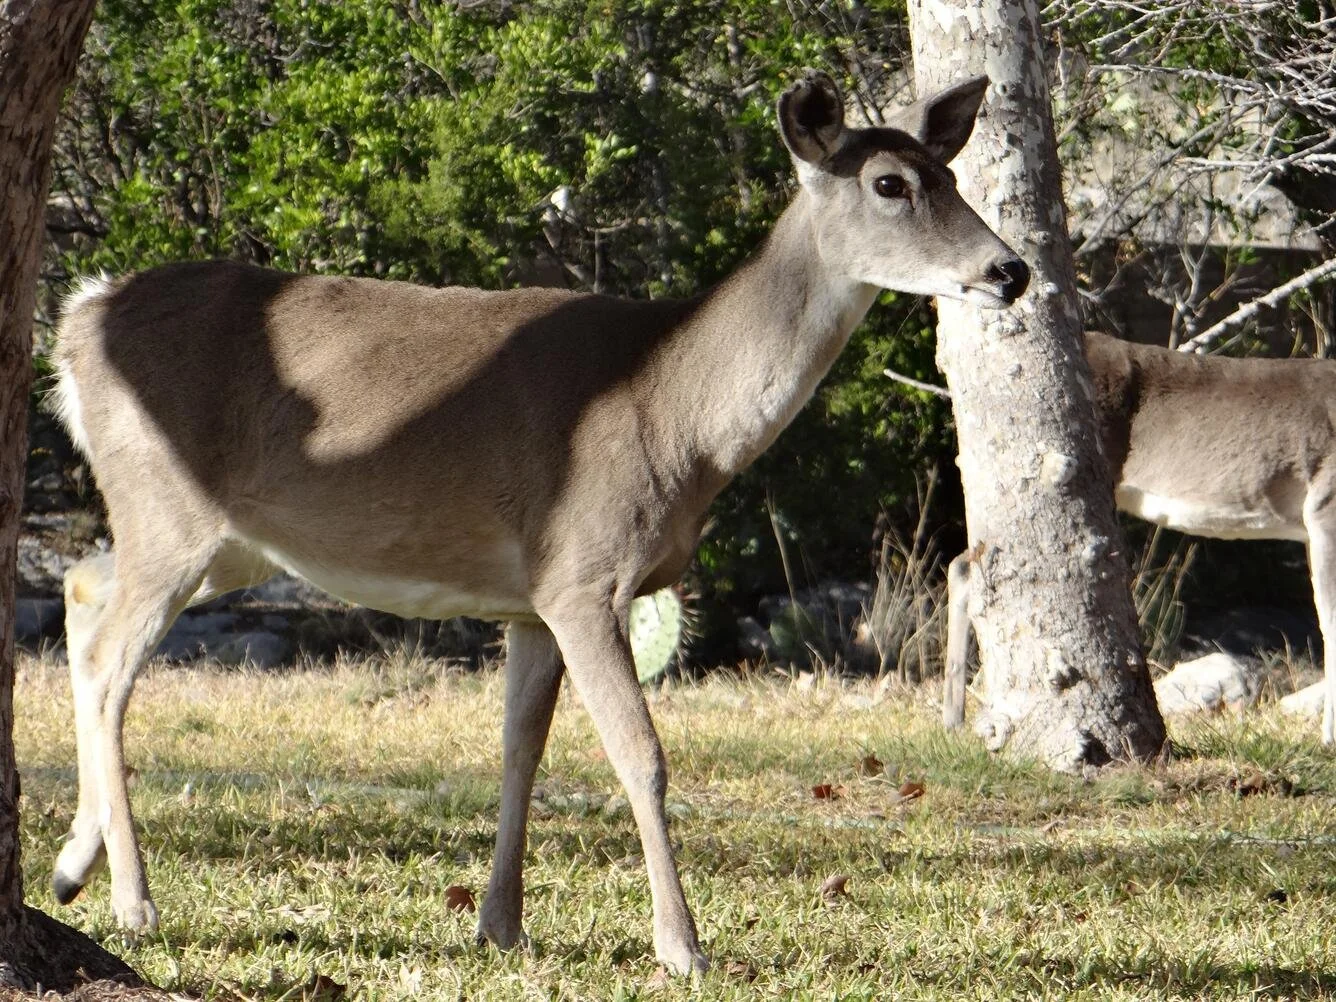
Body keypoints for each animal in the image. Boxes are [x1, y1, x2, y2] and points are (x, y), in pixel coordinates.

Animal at [48, 70, 1029, 975]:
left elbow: (520, 748)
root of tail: (75, 319)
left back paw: (69, 866)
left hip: (229, 539)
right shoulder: (583, 572)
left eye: (951, 172)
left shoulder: (528, 598)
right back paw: (133, 899)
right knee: (109, 664)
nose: (1010, 271)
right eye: (891, 183)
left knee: (82, 586)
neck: (677, 414)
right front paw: (683, 947)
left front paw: (501, 923)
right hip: (170, 507)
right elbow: (641, 753)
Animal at [943, 330, 1336, 745]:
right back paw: (957, 717)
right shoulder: (1325, 505)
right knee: (972, 563)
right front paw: (1329, 739)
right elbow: (1330, 623)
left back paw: (954, 718)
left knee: (963, 563)